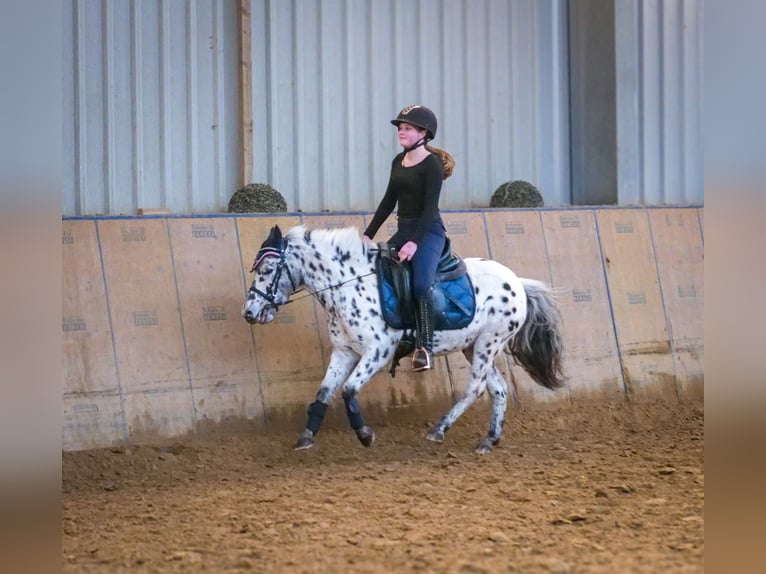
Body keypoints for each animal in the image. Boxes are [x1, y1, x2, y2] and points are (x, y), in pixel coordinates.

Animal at [243, 225, 568, 454]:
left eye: (268, 270)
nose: (249, 312)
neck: (348, 285)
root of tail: (518, 283)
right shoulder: (344, 351)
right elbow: (323, 393)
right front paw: (306, 437)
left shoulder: (377, 351)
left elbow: (348, 390)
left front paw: (365, 435)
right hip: (473, 345)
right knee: (498, 389)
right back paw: (488, 440)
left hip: (490, 342)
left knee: (474, 389)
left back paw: (439, 430)